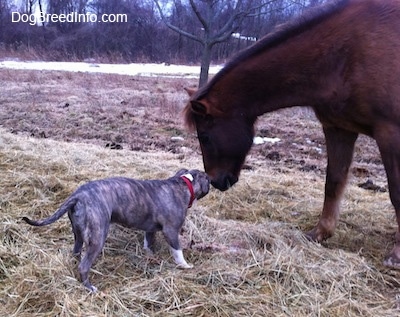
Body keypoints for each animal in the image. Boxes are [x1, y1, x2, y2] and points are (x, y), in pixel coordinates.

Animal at [22, 168, 211, 292]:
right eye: (208, 180)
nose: (213, 183)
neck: (183, 183)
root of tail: (78, 196)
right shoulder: (171, 231)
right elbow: (178, 252)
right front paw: (185, 266)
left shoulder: (150, 230)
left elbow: (149, 244)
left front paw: (151, 257)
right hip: (98, 237)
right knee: (84, 266)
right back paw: (90, 287)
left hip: (78, 235)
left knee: (76, 253)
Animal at [186, 0, 400, 268]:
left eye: (204, 137)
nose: (216, 181)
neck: (346, 53)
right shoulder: (338, 128)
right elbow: (333, 182)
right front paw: (320, 233)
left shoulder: (390, 133)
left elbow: (396, 192)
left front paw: (397, 254)